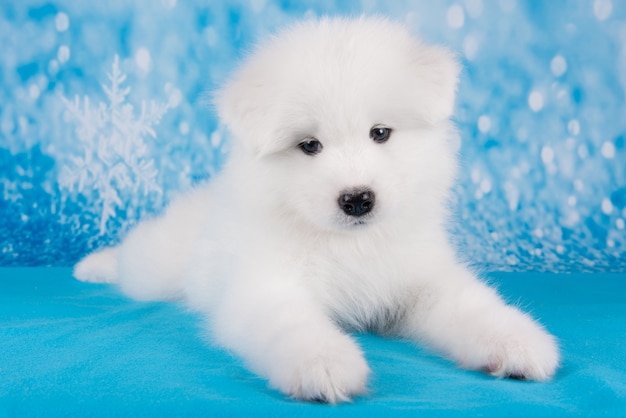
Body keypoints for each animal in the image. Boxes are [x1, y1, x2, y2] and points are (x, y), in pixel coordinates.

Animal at [73, 18, 556, 404]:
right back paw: (95, 264)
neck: (349, 244)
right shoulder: (265, 284)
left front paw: (516, 341)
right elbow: (292, 322)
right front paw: (325, 363)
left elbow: (470, 305)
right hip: (158, 265)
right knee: (134, 258)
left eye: (380, 133)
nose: (358, 199)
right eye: (309, 145)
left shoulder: (421, 279)